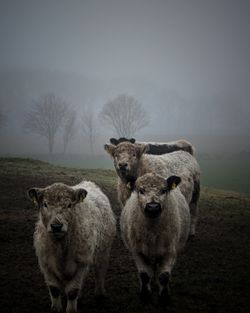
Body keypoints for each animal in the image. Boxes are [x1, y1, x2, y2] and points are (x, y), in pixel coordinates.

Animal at [27, 179, 116, 312]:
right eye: (45, 204)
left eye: (69, 205)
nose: (56, 226)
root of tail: (88, 182)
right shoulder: (45, 264)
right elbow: (54, 289)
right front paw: (56, 308)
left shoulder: (81, 263)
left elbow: (72, 291)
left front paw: (71, 309)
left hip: (103, 251)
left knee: (100, 271)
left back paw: (100, 293)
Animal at [120, 172, 190, 302]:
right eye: (141, 190)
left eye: (163, 190)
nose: (153, 207)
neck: (152, 233)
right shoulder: (138, 252)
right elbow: (144, 275)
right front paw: (145, 295)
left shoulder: (170, 252)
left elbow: (164, 276)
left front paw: (164, 297)